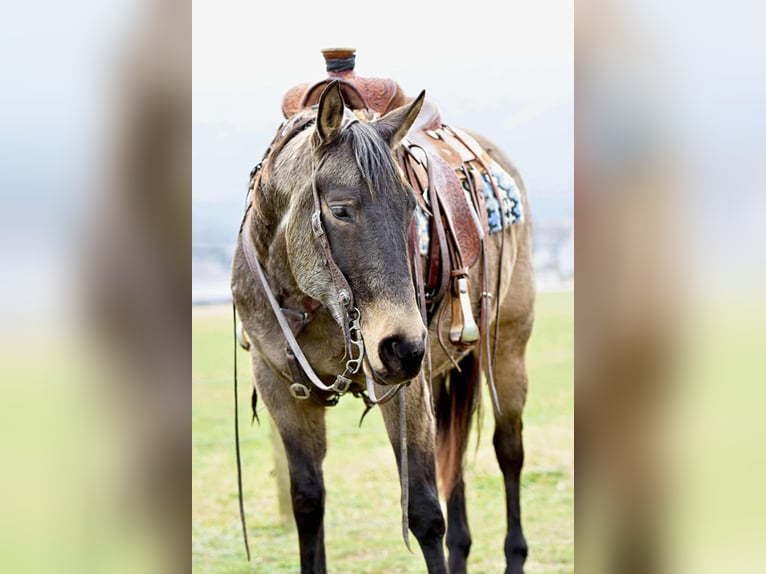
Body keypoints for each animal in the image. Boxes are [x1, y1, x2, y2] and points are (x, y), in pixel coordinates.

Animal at [231, 50, 536, 574]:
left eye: (411, 208)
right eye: (340, 210)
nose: (402, 346)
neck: (311, 303)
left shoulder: (404, 388)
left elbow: (424, 513)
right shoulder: (279, 387)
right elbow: (308, 502)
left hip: (506, 349)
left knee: (507, 450)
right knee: (453, 457)